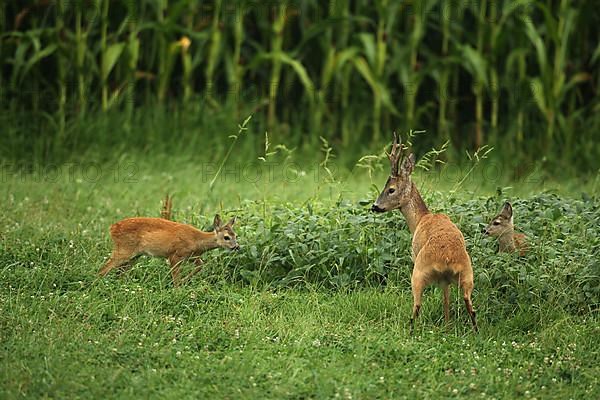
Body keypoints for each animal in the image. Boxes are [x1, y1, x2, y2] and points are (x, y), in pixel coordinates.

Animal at [99, 214, 238, 286]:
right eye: (226, 237)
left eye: (236, 236)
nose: (237, 247)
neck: (197, 240)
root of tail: (112, 228)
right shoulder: (175, 255)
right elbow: (176, 277)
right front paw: (178, 289)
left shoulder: (192, 256)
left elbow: (200, 266)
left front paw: (184, 281)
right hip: (123, 249)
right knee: (103, 270)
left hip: (134, 255)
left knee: (120, 272)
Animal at [370, 133, 478, 332]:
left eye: (391, 189)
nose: (375, 206)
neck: (421, 218)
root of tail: (447, 257)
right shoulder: (446, 280)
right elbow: (446, 299)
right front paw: (447, 326)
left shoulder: (413, 254)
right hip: (467, 274)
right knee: (468, 304)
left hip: (418, 271)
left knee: (417, 305)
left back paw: (410, 329)